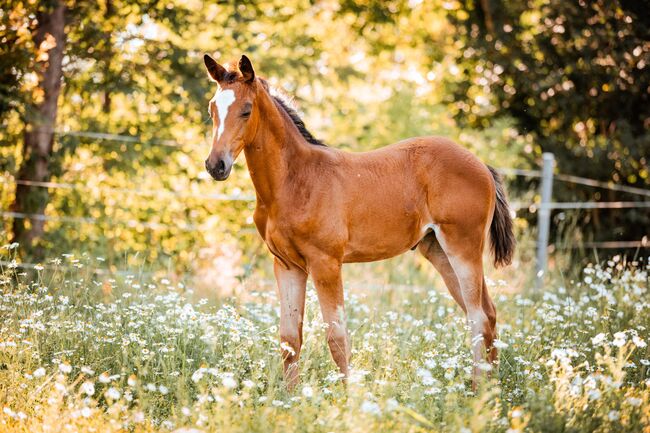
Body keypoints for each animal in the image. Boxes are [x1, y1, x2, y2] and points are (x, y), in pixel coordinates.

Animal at [200, 54, 512, 388]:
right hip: (438, 250)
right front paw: (291, 396)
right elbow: (289, 340)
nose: (216, 165)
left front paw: (347, 398)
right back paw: (492, 388)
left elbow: (337, 339)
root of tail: (481, 164)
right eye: (212, 108)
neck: (295, 180)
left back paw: (480, 391)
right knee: (488, 313)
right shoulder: (287, 265)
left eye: (246, 110)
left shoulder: (325, 264)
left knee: (478, 317)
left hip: (463, 248)